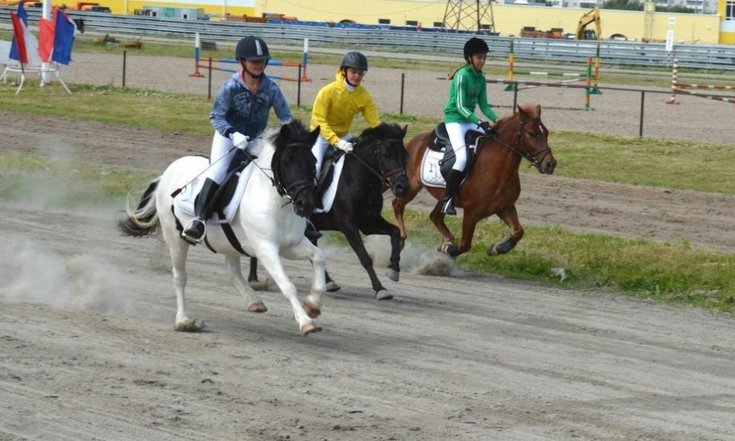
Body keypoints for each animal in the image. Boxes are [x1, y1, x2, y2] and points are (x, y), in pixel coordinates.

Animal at [120, 120, 324, 334]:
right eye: (286, 162)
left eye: (313, 162)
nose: (305, 204)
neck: (274, 200)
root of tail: (168, 172)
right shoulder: (266, 248)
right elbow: (287, 285)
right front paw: (306, 322)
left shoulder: (291, 245)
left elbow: (319, 257)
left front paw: (313, 304)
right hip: (176, 240)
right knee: (180, 277)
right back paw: (184, 321)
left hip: (230, 243)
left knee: (231, 272)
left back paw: (253, 301)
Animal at [247, 122, 408, 298]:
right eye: (386, 154)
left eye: (405, 154)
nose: (401, 187)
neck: (358, 180)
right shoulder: (348, 226)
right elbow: (365, 257)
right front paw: (380, 288)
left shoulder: (368, 222)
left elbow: (395, 232)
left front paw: (393, 269)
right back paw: (254, 279)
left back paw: (328, 281)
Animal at [394, 105, 556, 258]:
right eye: (531, 134)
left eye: (546, 133)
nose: (550, 164)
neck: (499, 168)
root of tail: (413, 141)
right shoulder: (471, 213)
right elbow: (465, 245)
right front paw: (447, 249)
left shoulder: (505, 207)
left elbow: (518, 231)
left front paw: (498, 248)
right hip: (411, 186)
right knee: (397, 205)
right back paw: (401, 238)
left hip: (443, 196)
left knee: (435, 216)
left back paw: (447, 239)